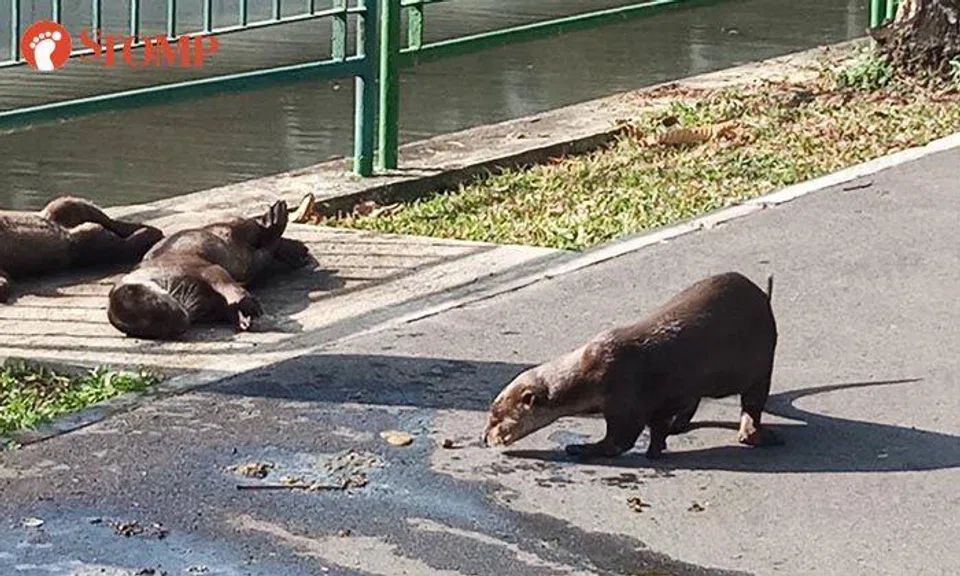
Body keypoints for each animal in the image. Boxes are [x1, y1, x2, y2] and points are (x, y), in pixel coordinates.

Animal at [0, 196, 163, 303]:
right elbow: (5, 281)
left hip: (68, 210)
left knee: (108, 220)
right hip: (94, 240)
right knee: (124, 241)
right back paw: (148, 232)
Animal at [106, 199, 314, 341]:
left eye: (159, 306)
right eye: (158, 329)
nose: (182, 323)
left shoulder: (196, 267)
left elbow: (223, 280)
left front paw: (248, 305)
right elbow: (226, 306)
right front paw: (242, 317)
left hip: (232, 226)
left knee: (257, 229)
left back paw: (278, 217)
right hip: (248, 258)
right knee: (264, 253)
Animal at [482, 271, 779, 461]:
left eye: (496, 419)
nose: (484, 438)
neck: (590, 375)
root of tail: (764, 296)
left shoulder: (625, 397)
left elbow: (619, 440)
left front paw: (580, 448)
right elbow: (655, 426)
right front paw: (657, 447)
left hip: (760, 364)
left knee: (753, 401)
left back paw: (751, 434)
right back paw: (680, 425)